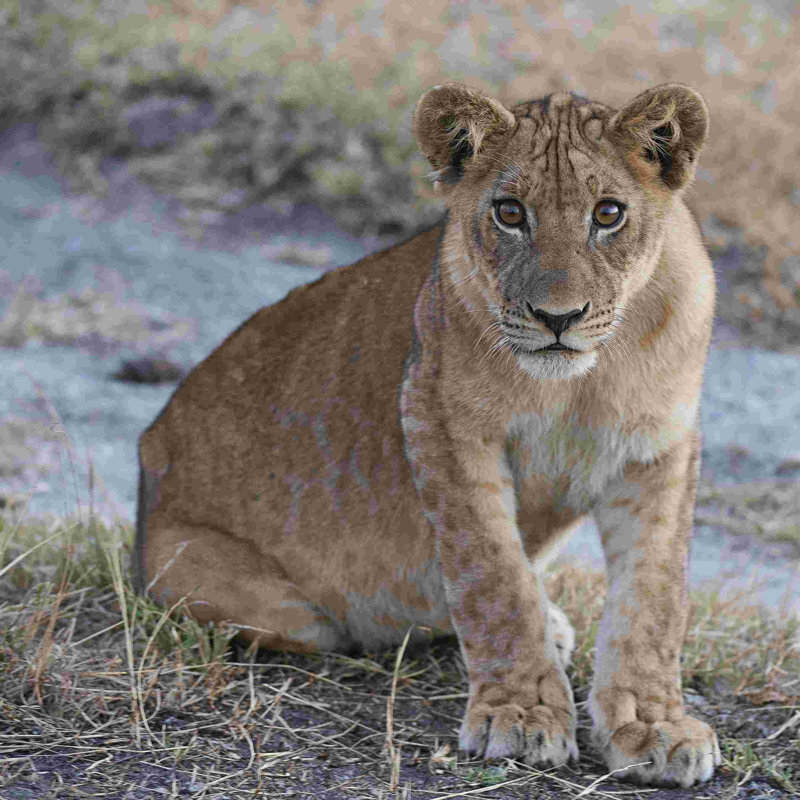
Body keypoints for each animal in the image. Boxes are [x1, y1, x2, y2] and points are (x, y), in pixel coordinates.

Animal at [134, 82, 720, 787]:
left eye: (608, 213)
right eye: (509, 212)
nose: (558, 318)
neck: (583, 381)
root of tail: (149, 452)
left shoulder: (661, 448)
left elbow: (654, 598)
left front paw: (654, 726)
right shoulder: (439, 418)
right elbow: (492, 575)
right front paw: (520, 715)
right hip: (272, 606)